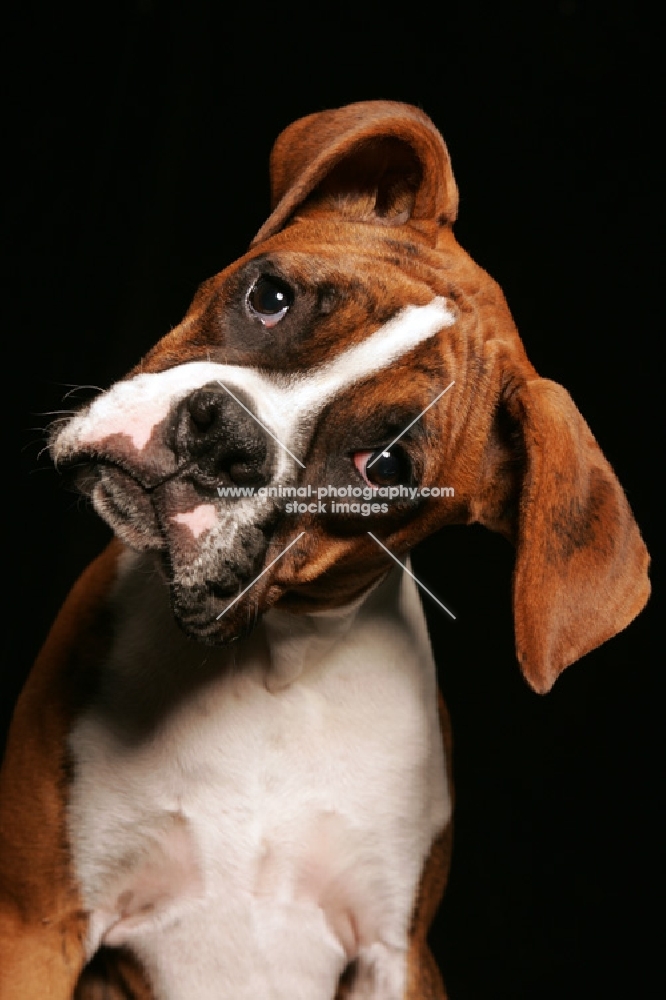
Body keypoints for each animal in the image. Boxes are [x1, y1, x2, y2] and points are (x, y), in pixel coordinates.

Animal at [0, 97, 648, 996]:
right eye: (270, 295)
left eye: (384, 468)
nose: (224, 438)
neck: (270, 663)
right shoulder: (37, 925)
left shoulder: (396, 956)